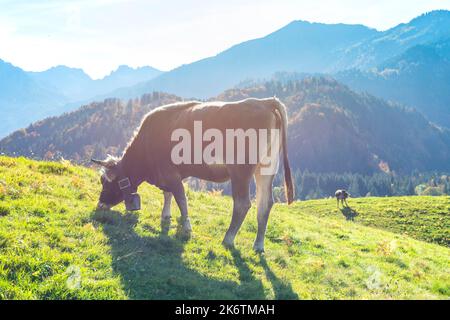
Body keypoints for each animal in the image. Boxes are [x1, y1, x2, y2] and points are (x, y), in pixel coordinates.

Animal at [92, 97, 296, 252]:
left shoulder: (171, 173)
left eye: (106, 181)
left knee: (242, 203)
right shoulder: (168, 175)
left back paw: (228, 239)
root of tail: (265, 101)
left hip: (241, 171)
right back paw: (258, 245)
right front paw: (166, 216)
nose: (99, 205)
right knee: (265, 204)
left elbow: (181, 199)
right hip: (267, 168)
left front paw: (186, 228)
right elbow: (168, 194)